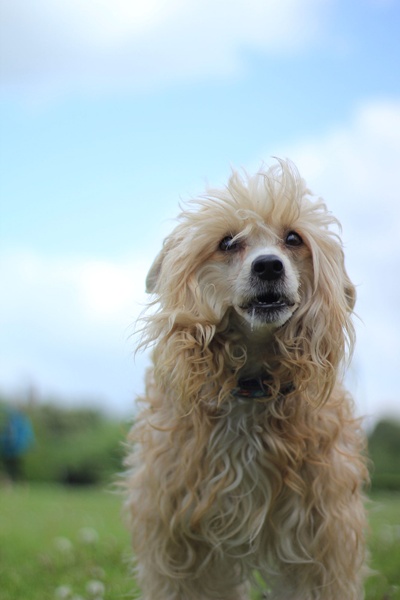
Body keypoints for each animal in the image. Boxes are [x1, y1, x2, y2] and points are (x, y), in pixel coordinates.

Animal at [126, 159, 368, 600]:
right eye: (227, 242)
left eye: (293, 238)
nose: (268, 265)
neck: (251, 387)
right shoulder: (180, 538)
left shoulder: (321, 536)